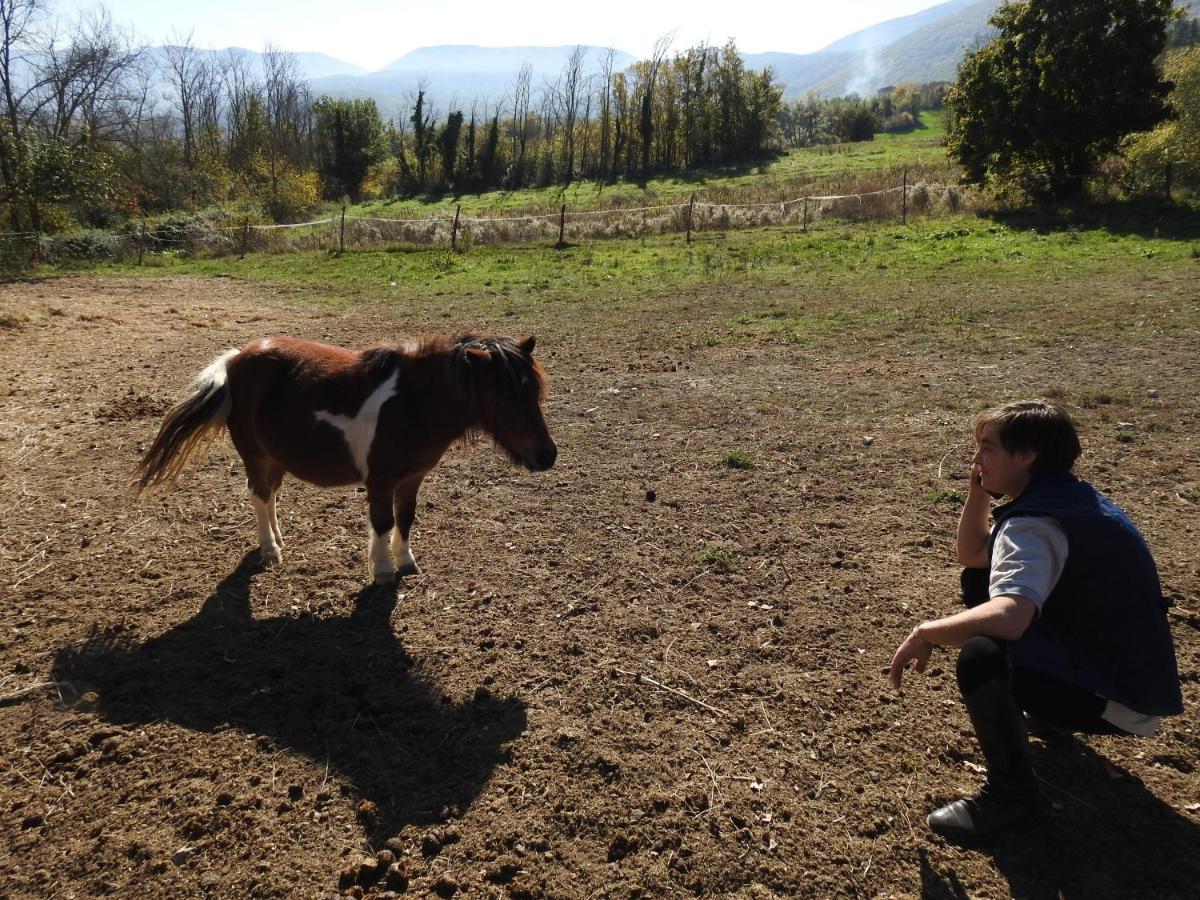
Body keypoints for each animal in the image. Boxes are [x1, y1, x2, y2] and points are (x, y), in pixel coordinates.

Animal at [132, 333, 556, 585]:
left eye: (534, 391)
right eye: (503, 396)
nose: (547, 455)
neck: (413, 403)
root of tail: (236, 359)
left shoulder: (411, 479)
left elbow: (405, 519)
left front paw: (406, 562)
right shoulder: (380, 481)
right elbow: (383, 523)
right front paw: (382, 569)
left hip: (276, 455)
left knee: (270, 495)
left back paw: (278, 537)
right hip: (254, 453)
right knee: (258, 495)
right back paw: (270, 549)